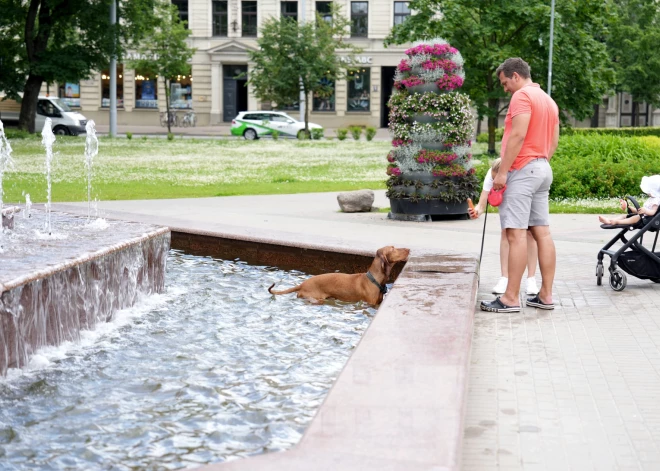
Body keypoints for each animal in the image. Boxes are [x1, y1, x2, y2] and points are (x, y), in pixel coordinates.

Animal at [266, 247, 410, 306]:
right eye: (393, 248)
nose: (409, 249)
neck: (374, 279)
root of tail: (302, 284)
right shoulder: (370, 304)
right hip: (317, 298)